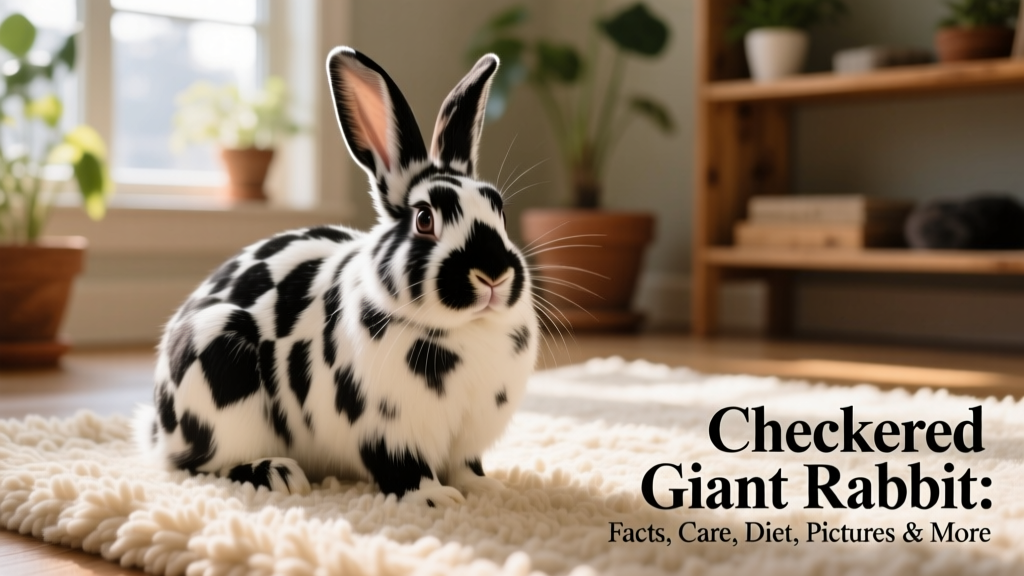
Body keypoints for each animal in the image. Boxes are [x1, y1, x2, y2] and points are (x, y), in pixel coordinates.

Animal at [134, 47, 538, 507]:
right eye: (424, 219)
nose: (493, 274)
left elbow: (466, 467)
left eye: (498, 209)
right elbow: (406, 471)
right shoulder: (388, 431)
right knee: (202, 465)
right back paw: (278, 474)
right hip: (219, 364)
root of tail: (158, 428)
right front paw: (437, 500)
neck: (465, 331)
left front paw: (488, 491)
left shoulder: (467, 437)